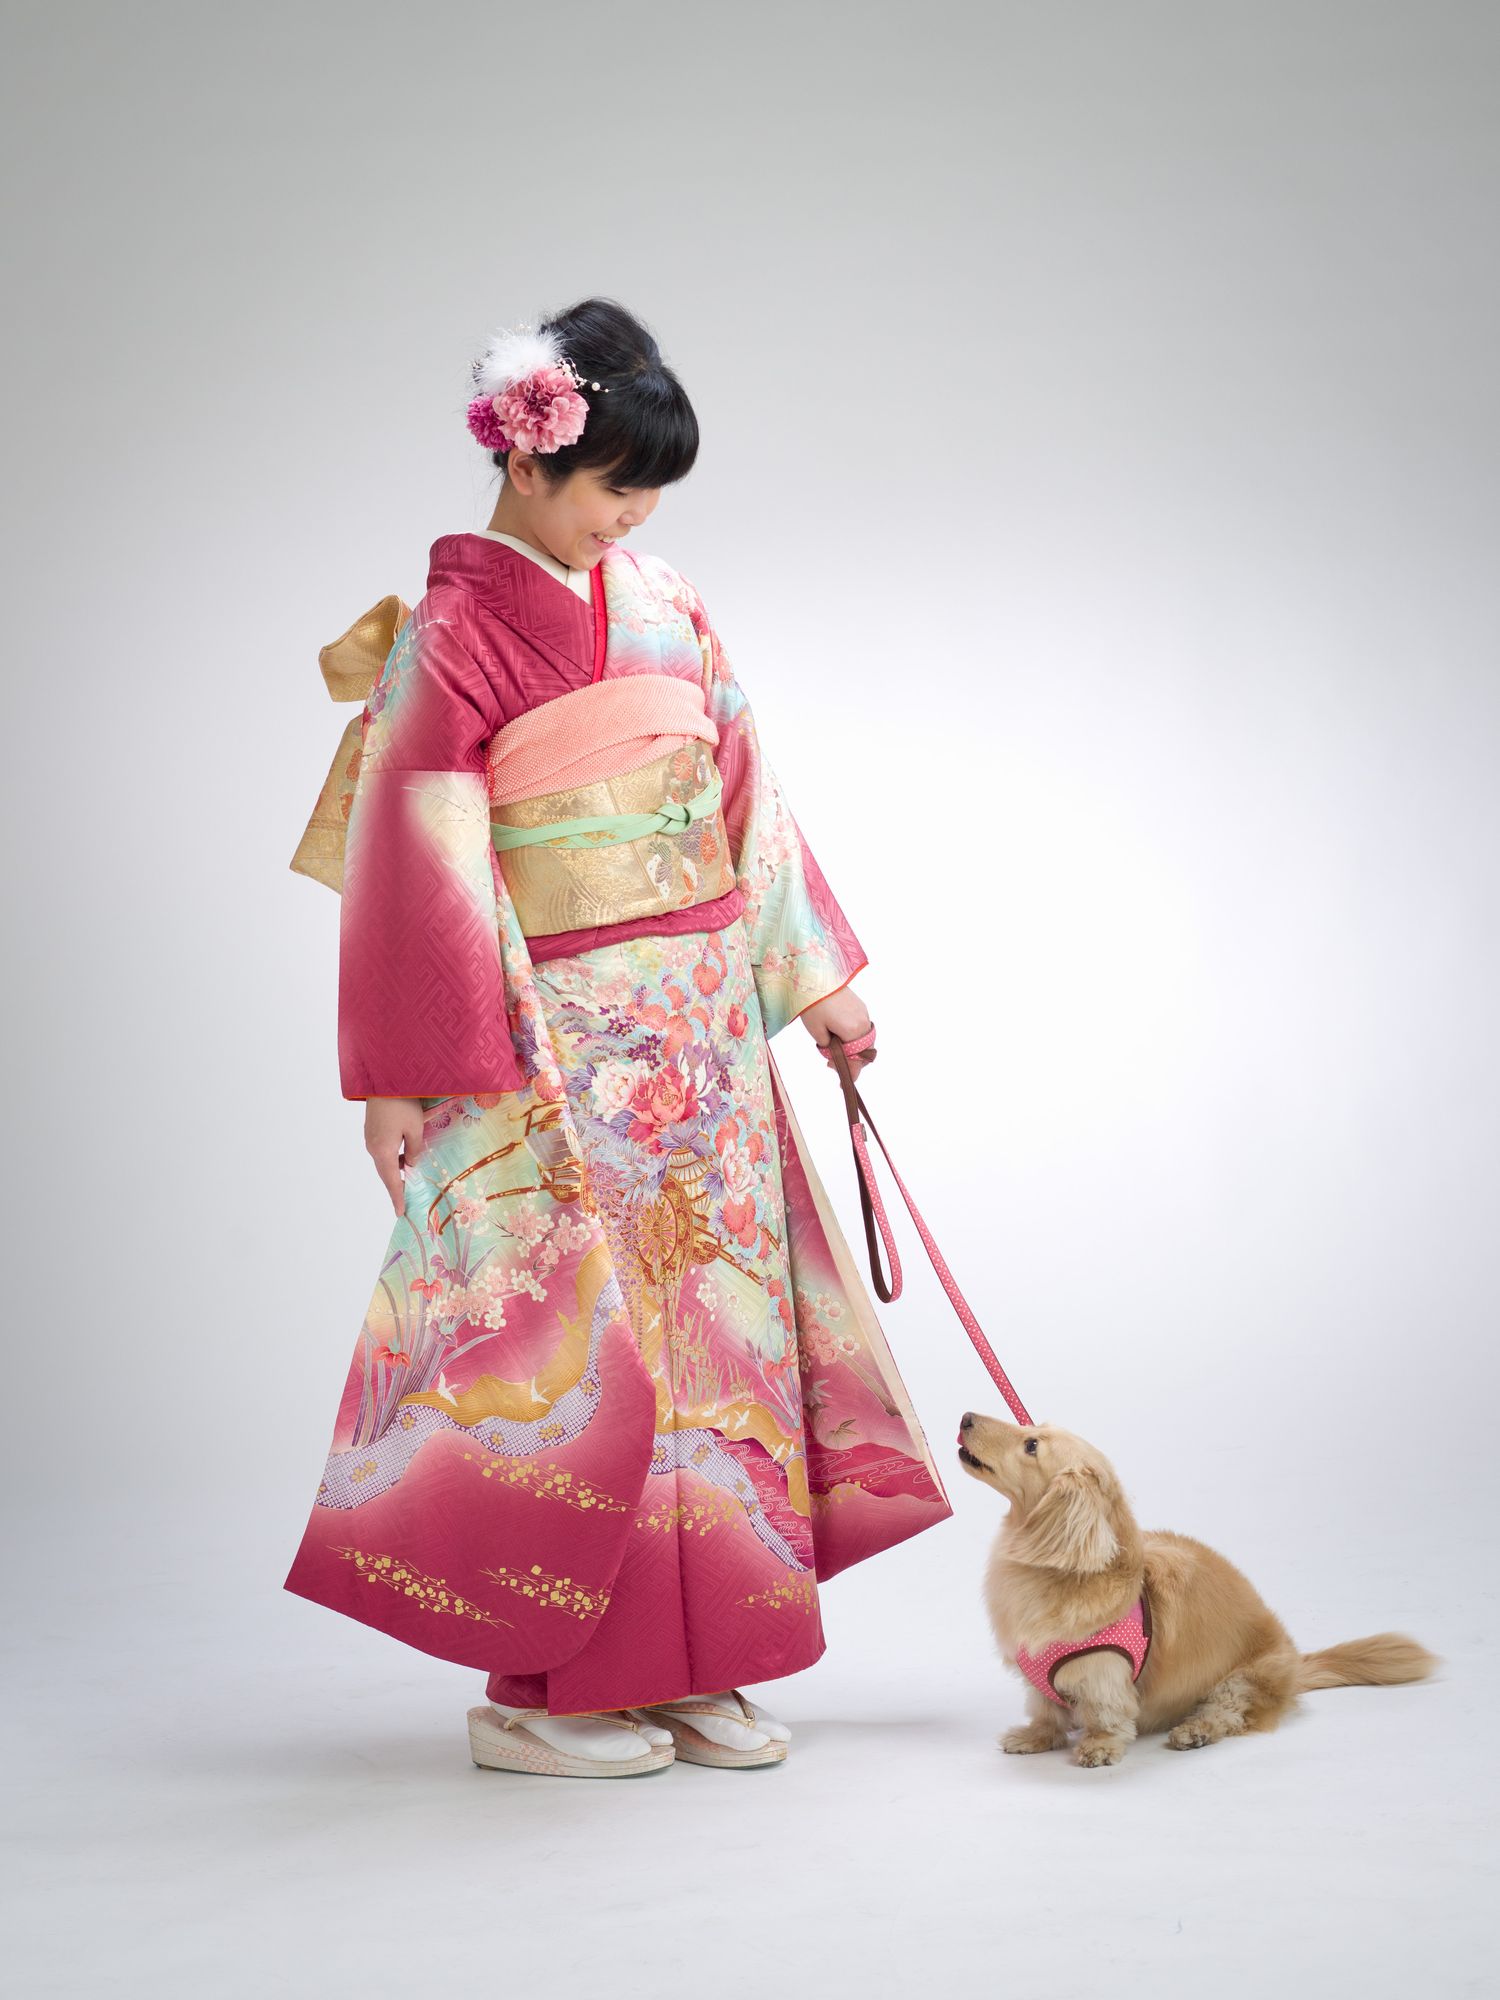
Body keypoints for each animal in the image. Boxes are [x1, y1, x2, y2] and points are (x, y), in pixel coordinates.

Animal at [958, 1412, 1437, 1767]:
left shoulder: (1104, 1675)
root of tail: (1297, 1664)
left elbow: (1108, 1715)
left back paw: (1195, 1732)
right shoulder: (1037, 1676)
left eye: (1031, 1445)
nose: (965, 1417)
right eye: (1030, 1430)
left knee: (1230, 1713)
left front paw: (1098, 1746)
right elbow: (1046, 1711)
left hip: (1242, 1680)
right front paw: (1035, 1737)